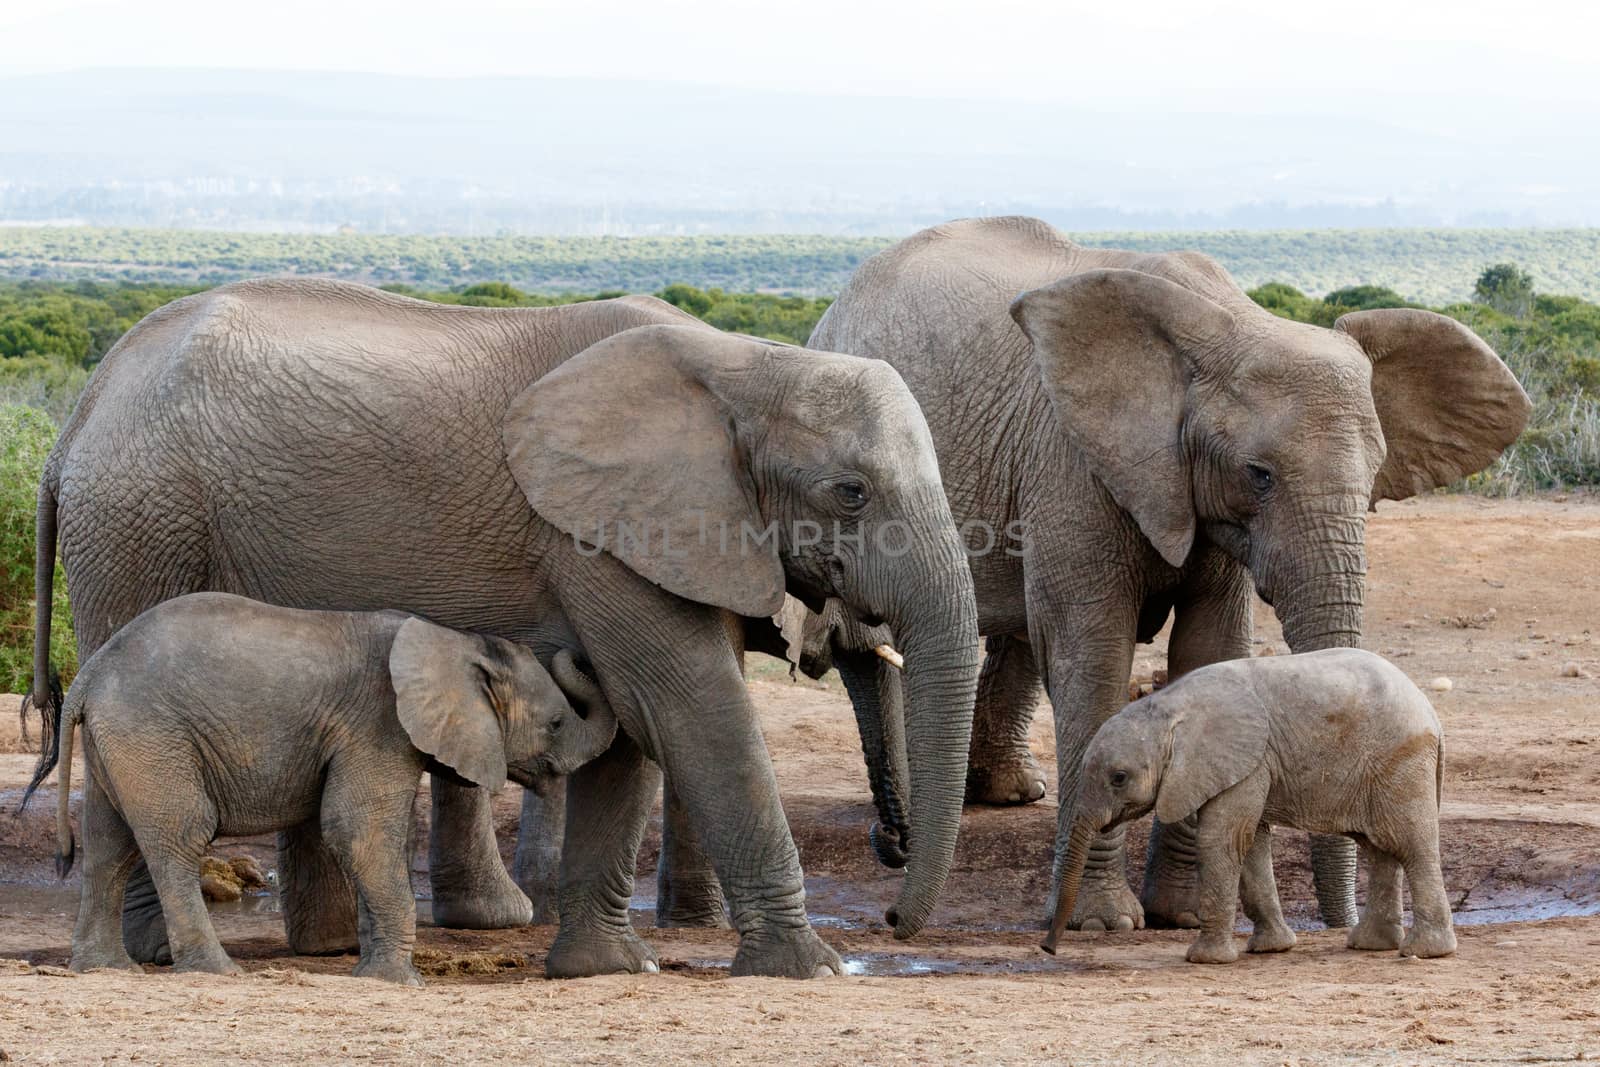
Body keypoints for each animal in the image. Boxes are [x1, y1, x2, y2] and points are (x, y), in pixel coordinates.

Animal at [21, 591, 614, 985]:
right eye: (556, 723)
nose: (577, 650)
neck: (455, 642)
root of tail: (90, 673)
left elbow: (372, 838)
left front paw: (372, 973)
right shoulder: (378, 723)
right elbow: (358, 830)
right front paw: (399, 983)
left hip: (119, 740)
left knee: (109, 845)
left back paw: (104, 969)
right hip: (151, 733)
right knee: (179, 838)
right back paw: (218, 972)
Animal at [806, 217, 1529, 934]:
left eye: (1376, 475)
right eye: (1258, 474)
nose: (1339, 924)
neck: (1230, 322)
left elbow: (1209, 651)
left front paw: (1180, 916)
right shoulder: (1070, 461)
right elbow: (1094, 661)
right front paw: (1104, 924)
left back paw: (1004, 796)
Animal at [1043, 646, 1459, 966]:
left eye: (1119, 777)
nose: (1048, 948)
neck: (1168, 707)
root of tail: (1431, 713)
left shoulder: (1244, 761)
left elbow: (1221, 840)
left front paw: (1205, 960)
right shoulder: (1246, 766)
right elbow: (1251, 843)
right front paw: (1269, 949)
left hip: (1399, 759)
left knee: (1408, 844)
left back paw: (1425, 951)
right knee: (1379, 848)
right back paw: (1370, 945)